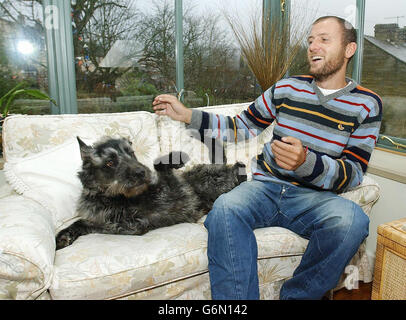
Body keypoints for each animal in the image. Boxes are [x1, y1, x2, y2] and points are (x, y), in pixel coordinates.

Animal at [55, 136, 246, 250]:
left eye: (131, 153)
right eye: (110, 162)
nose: (141, 172)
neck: (114, 198)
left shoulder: (173, 187)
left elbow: (159, 166)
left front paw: (174, 158)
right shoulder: (128, 226)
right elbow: (81, 223)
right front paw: (63, 236)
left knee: (238, 170)